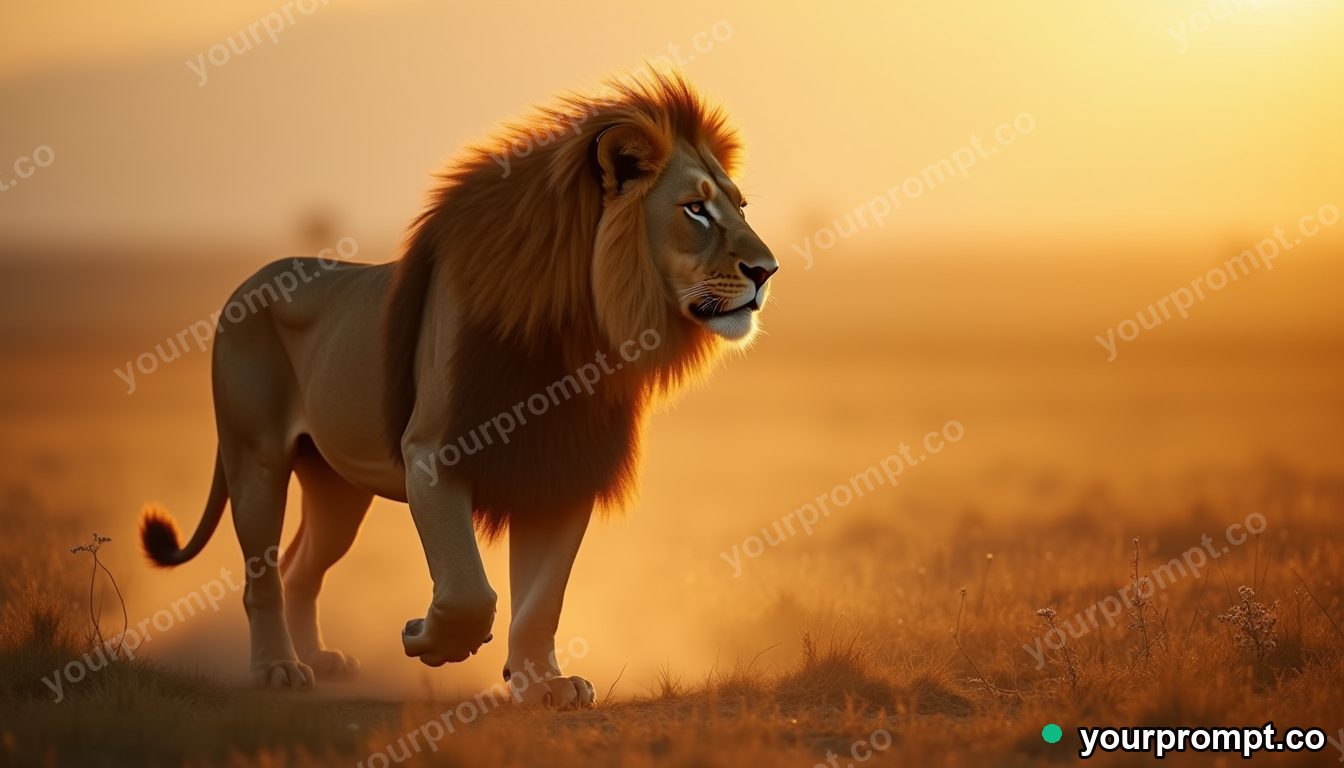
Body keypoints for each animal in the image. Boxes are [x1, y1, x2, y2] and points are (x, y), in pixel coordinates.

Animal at [139, 70, 777, 707]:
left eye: (741, 207)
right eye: (695, 210)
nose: (767, 270)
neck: (582, 334)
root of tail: (250, 281)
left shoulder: (564, 469)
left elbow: (542, 599)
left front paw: (542, 684)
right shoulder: (432, 453)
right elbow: (472, 590)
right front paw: (427, 638)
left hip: (336, 486)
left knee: (301, 567)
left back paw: (319, 659)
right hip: (257, 460)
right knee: (263, 576)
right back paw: (276, 668)